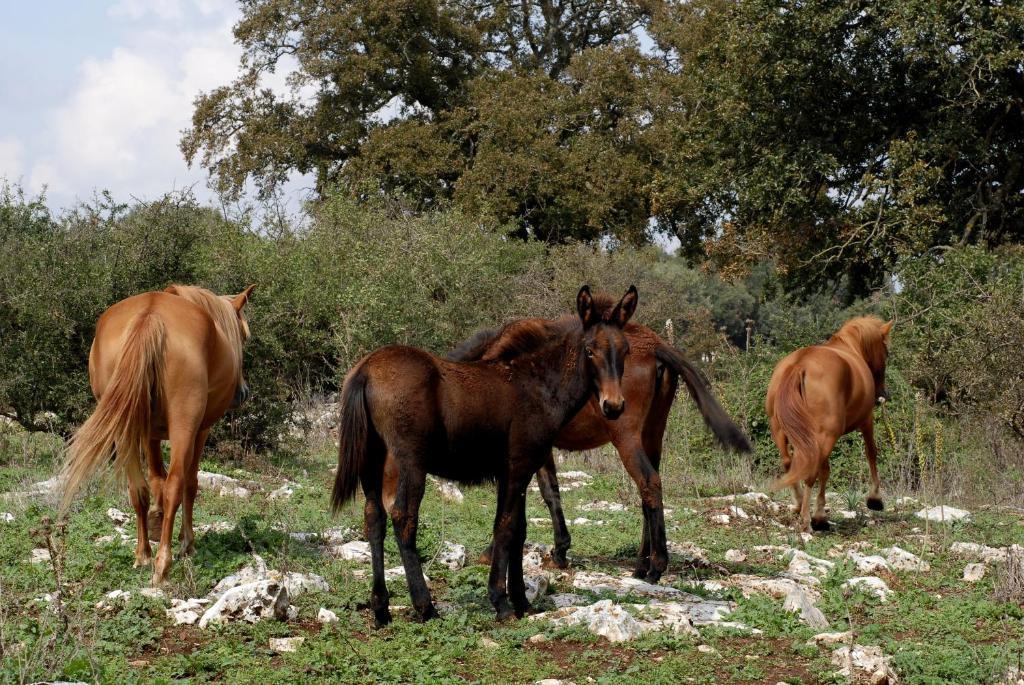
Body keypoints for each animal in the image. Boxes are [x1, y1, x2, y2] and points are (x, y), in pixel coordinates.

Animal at [60, 282, 254, 581]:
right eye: (243, 337)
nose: (242, 392)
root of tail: (150, 316)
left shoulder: (149, 434)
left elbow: (155, 480)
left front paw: (155, 521)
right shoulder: (201, 430)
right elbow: (188, 484)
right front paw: (187, 542)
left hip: (126, 429)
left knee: (138, 489)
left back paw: (143, 555)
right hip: (184, 424)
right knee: (177, 483)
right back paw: (164, 562)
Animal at [333, 286, 638, 622]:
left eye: (625, 351)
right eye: (589, 350)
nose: (614, 406)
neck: (538, 386)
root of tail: (366, 369)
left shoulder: (517, 472)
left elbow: (519, 531)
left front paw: (522, 601)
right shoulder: (518, 467)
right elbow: (505, 528)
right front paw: (501, 602)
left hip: (371, 462)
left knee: (373, 518)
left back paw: (381, 609)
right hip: (410, 462)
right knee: (403, 517)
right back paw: (425, 606)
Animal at [452, 317, 749, 581]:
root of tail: (654, 345)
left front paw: (492, 552)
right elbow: (551, 492)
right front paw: (560, 550)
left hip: (626, 438)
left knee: (649, 483)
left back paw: (656, 567)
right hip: (652, 435)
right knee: (648, 493)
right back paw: (641, 565)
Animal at [765, 313, 892, 532]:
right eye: (886, 352)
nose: (881, 394)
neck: (850, 348)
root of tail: (799, 366)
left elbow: (825, 470)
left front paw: (820, 513)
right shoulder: (866, 421)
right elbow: (871, 453)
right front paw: (875, 498)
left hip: (783, 432)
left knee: (790, 464)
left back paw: (799, 504)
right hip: (826, 436)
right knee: (810, 471)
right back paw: (806, 519)